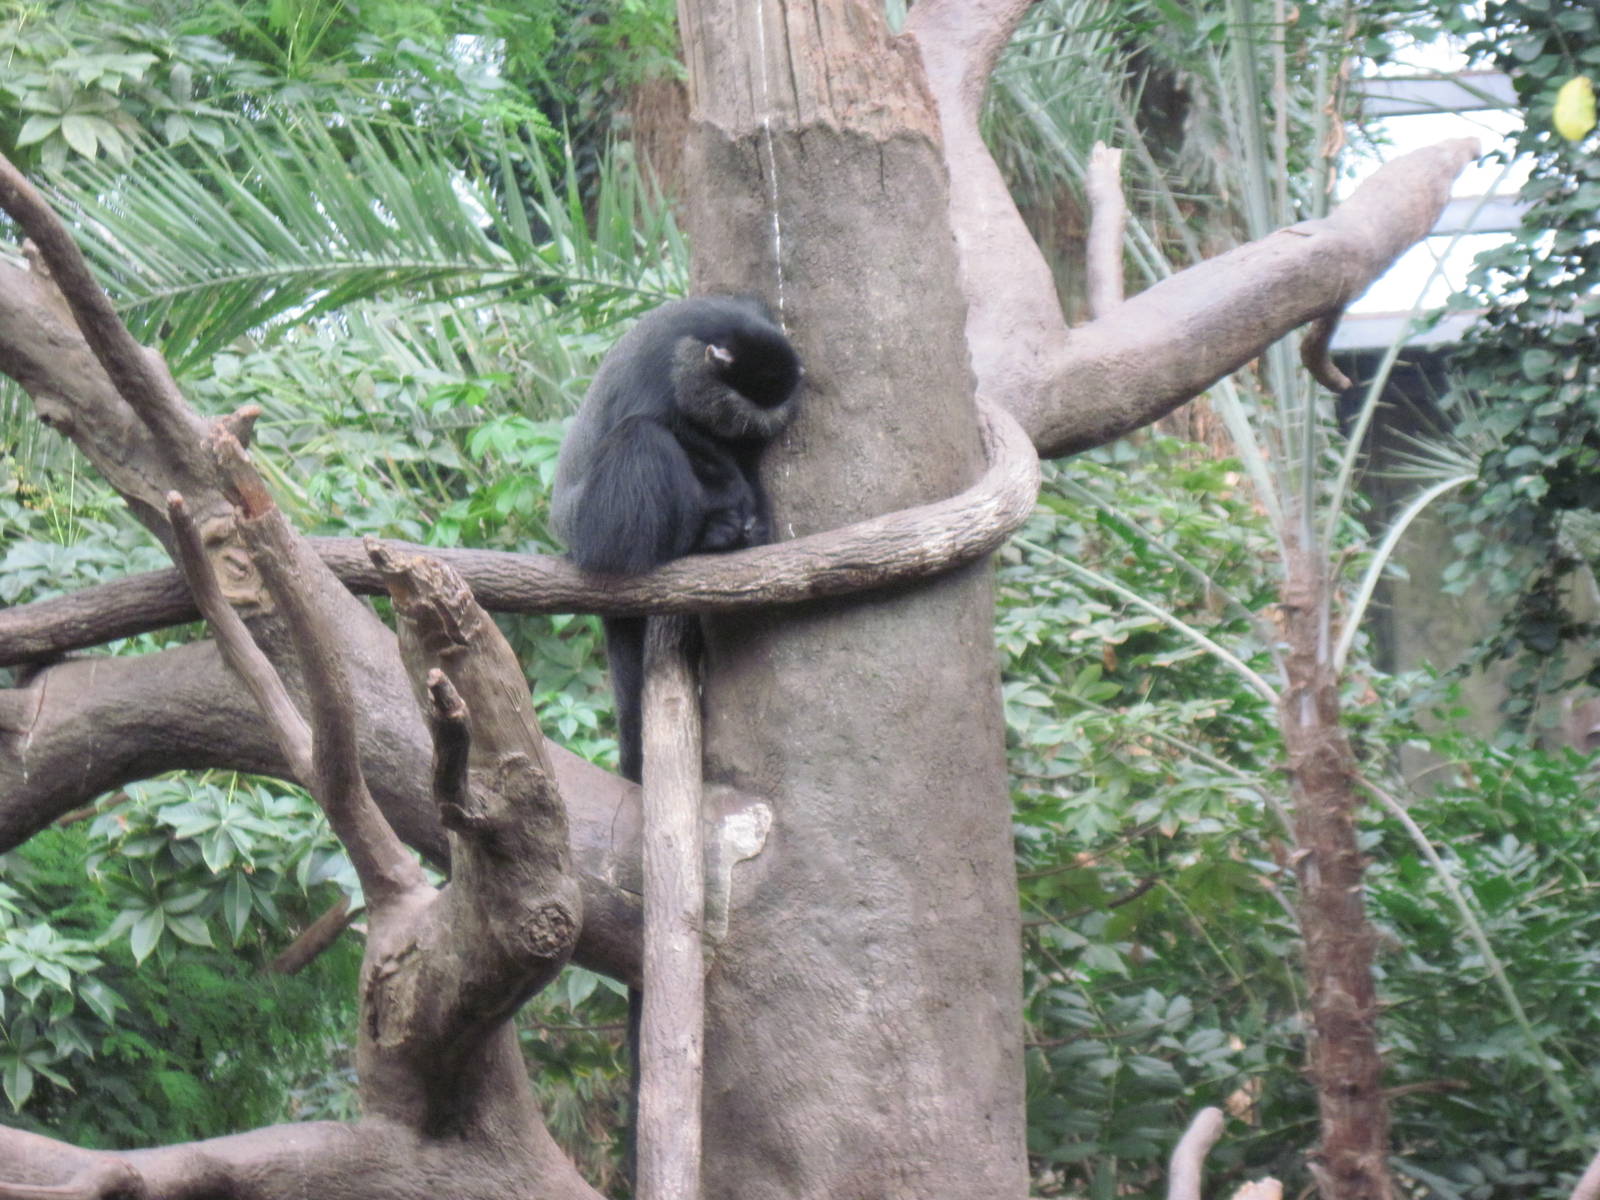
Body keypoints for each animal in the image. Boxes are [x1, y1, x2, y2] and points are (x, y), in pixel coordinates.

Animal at [550, 294, 802, 782]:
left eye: (749, 430)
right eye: (731, 415)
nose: (735, 437)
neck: (717, 327)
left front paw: (755, 514)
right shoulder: (660, 373)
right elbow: (673, 430)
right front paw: (733, 501)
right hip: (598, 526)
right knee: (642, 438)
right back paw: (703, 538)